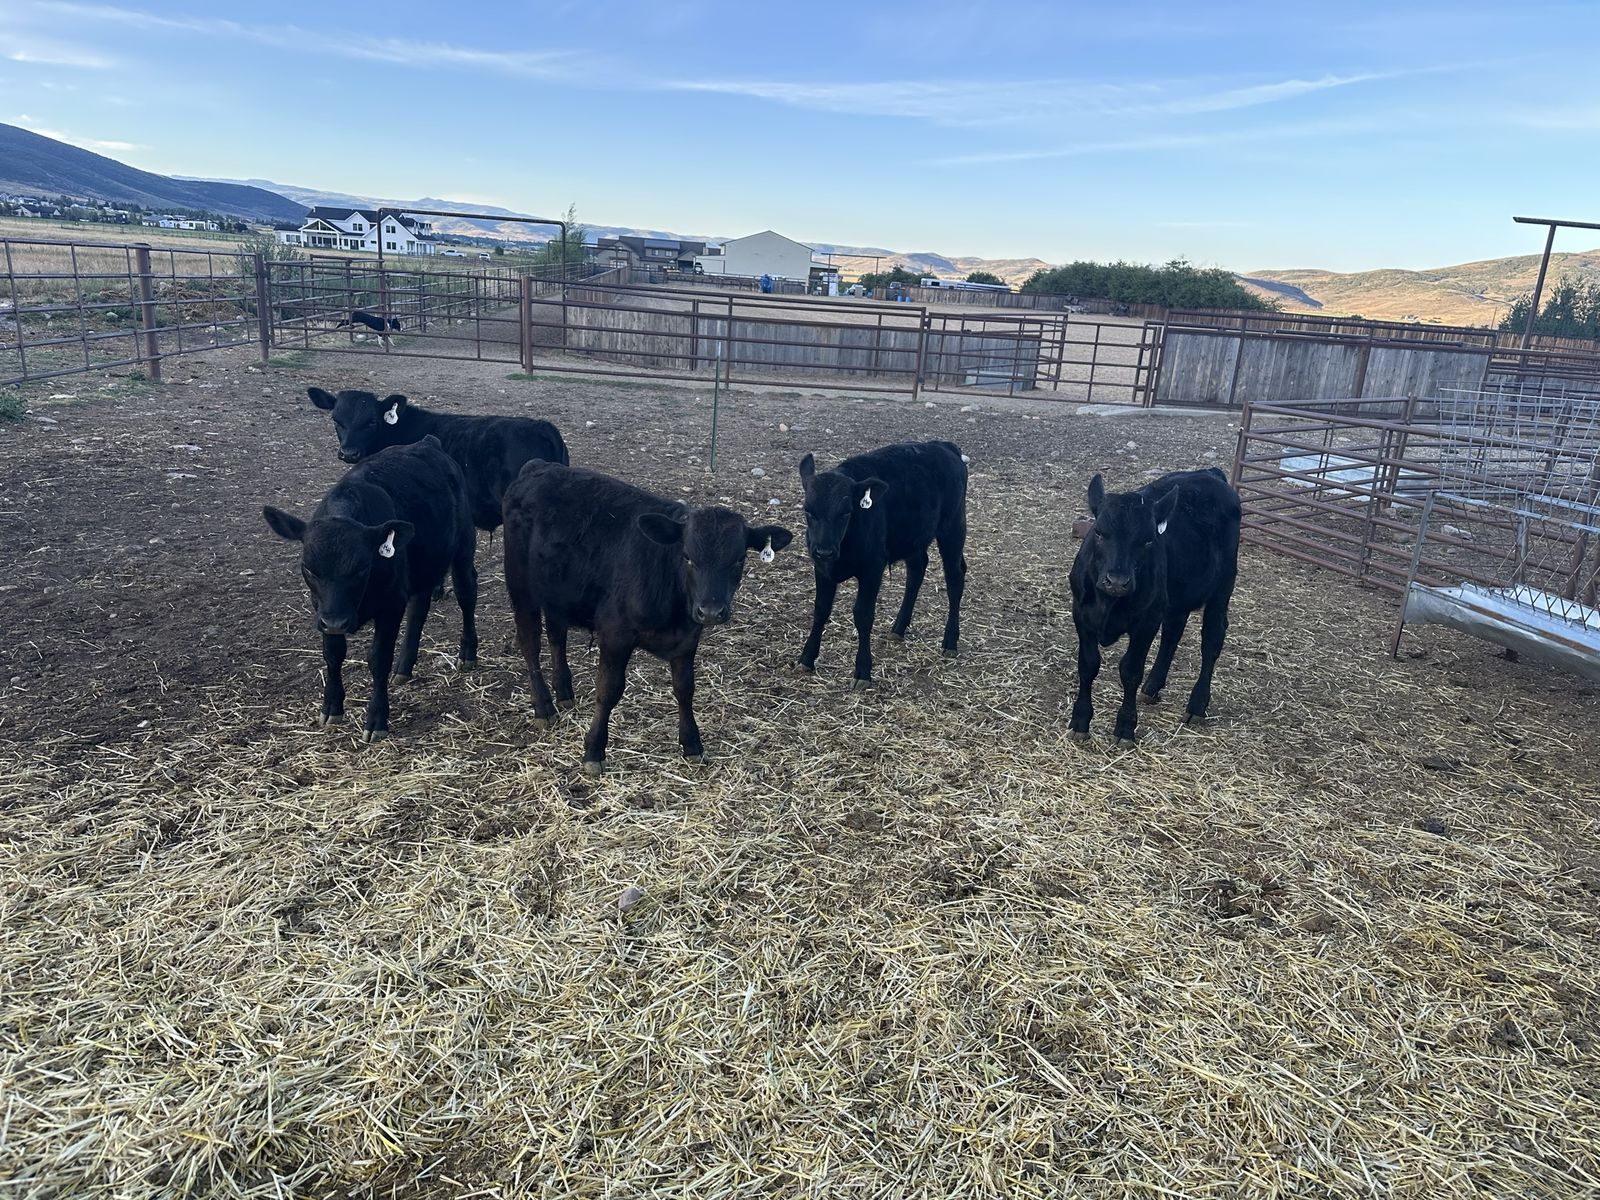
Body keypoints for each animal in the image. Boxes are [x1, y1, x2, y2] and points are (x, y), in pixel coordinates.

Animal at [262, 435, 478, 742]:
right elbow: (333, 654)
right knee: (419, 607)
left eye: (362, 568)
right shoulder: (322, 610)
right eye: (309, 569)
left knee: (466, 593)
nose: (337, 622)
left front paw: (376, 719)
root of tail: (428, 442)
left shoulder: (390, 606)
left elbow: (378, 659)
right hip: (423, 565)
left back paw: (467, 653)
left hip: (463, 546)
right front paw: (332, 706)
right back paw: (404, 667)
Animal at [502, 461, 793, 775]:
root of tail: (540, 466)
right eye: (687, 556)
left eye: (739, 559)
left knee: (557, 636)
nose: (711, 611)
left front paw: (692, 744)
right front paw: (594, 749)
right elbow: (609, 689)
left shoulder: (688, 639)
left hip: (558, 593)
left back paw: (564, 692)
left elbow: (685, 689)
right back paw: (543, 707)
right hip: (522, 587)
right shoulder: (615, 634)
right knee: (530, 643)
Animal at [795, 441, 968, 687]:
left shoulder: (873, 568)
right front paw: (807, 658)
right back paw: (899, 628)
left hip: (953, 528)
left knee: (954, 579)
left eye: (846, 512)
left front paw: (862, 671)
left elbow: (863, 615)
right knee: (916, 571)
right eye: (808, 510)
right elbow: (820, 610)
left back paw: (950, 642)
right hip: (913, 537)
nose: (825, 551)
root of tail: (943, 445)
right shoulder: (822, 568)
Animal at [1068, 467, 1240, 746]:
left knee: (1212, 639)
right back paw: (1152, 687)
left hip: (1223, 585)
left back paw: (1197, 705)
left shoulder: (1146, 621)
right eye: (1099, 533)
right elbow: (1088, 665)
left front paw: (1125, 728)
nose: (1117, 581)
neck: (1108, 602)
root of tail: (1210, 474)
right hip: (1177, 597)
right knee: (1173, 632)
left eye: (1148, 541)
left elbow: (1130, 671)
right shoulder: (1081, 614)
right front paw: (1080, 721)